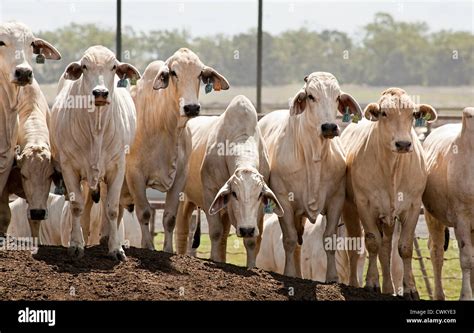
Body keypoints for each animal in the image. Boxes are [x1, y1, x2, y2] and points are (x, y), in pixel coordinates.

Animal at [0, 21, 61, 233]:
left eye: (50, 175)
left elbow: (34, 224)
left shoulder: (36, 200)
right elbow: (5, 216)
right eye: (24, 175)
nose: (24, 72)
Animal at [49, 45, 140, 258]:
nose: (100, 93)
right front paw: (76, 244)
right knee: (85, 205)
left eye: (113, 67)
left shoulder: (118, 168)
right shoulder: (69, 168)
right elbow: (77, 206)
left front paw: (116, 248)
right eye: (84, 67)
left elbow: (113, 208)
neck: (96, 129)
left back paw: (106, 237)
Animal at [176, 94, 284, 266]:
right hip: (183, 199)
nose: (246, 229)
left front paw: (251, 267)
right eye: (234, 193)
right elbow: (215, 232)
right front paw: (214, 260)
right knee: (182, 230)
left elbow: (251, 241)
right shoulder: (210, 194)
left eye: (259, 195)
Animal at [340, 86, 436, 298]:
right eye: (384, 113)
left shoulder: (413, 206)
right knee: (355, 248)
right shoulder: (365, 206)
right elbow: (372, 243)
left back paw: (389, 288)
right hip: (350, 208)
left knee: (386, 250)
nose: (403, 144)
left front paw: (410, 289)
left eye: (413, 114)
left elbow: (404, 248)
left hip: (388, 218)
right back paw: (354, 283)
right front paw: (371, 283)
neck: (393, 169)